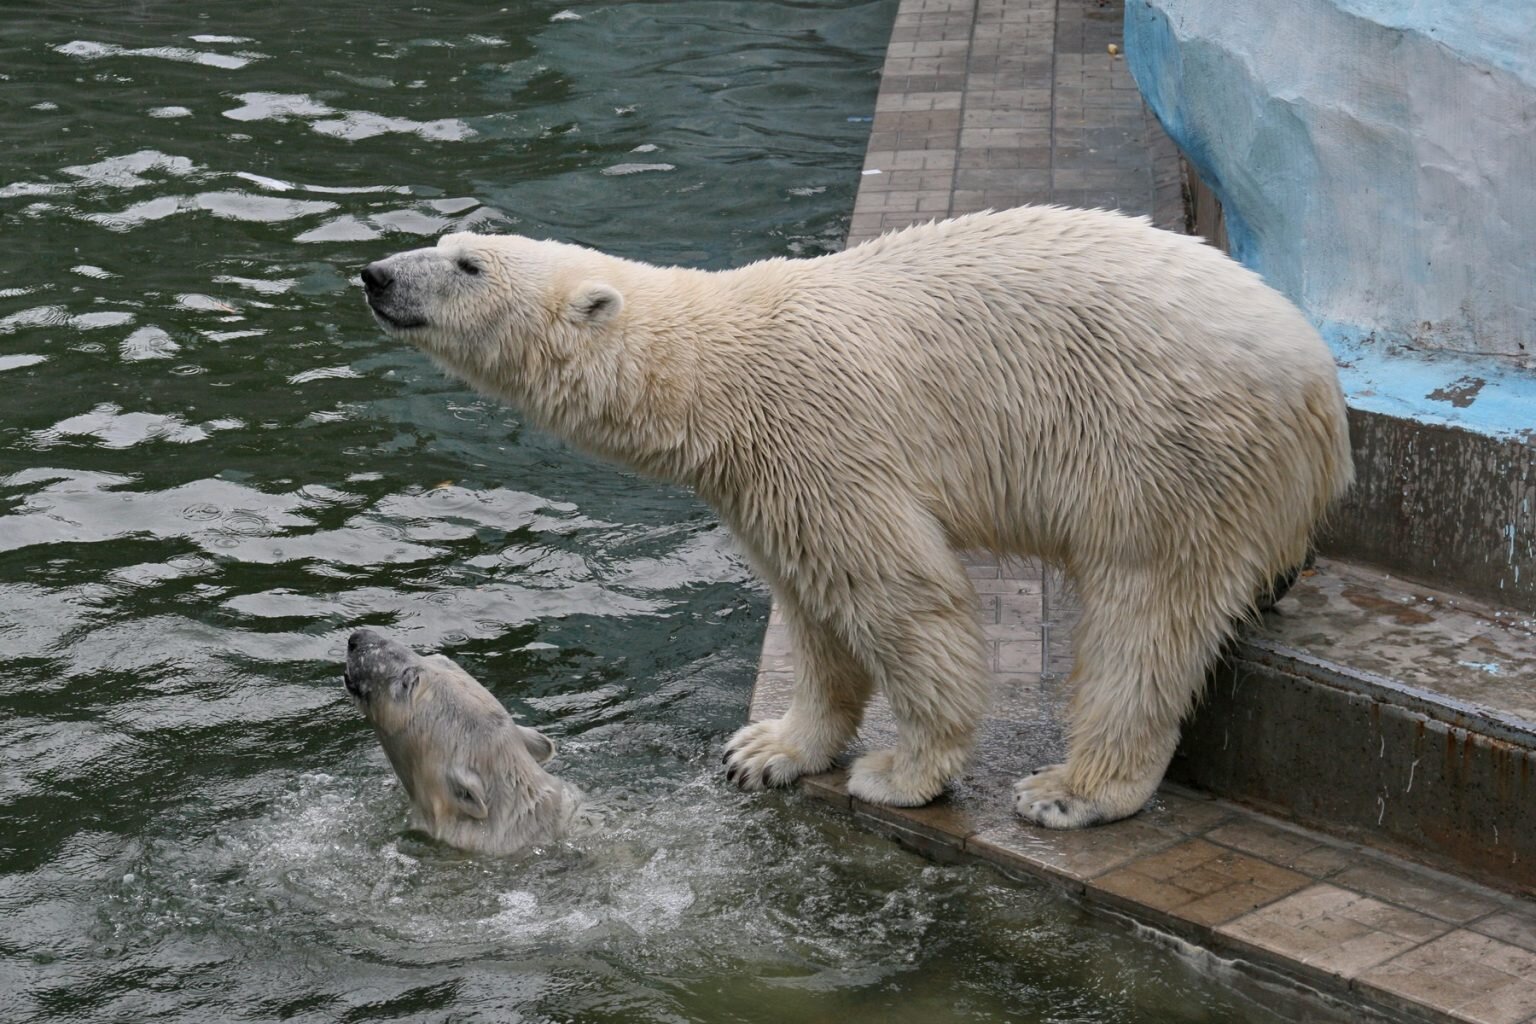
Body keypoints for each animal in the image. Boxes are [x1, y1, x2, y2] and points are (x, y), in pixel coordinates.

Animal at [356, 208, 1345, 835]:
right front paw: (768, 749)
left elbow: (902, 595)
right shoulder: (763, 479)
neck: (713, 372)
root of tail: (1323, 392)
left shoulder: (823, 434)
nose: (375, 274)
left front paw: (904, 771)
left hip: (1169, 449)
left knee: (1146, 613)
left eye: (468, 265)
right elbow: (812, 607)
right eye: (447, 240)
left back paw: (1073, 790)